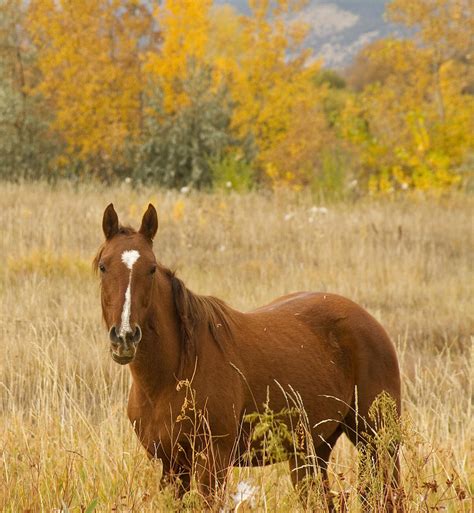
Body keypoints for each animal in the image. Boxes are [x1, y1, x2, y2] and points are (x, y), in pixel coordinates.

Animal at [94, 203, 402, 508]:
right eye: (103, 266)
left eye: (151, 268)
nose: (125, 336)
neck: (172, 374)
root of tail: (368, 321)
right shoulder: (171, 466)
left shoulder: (213, 462)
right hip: (312, 452)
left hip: (378, 441)